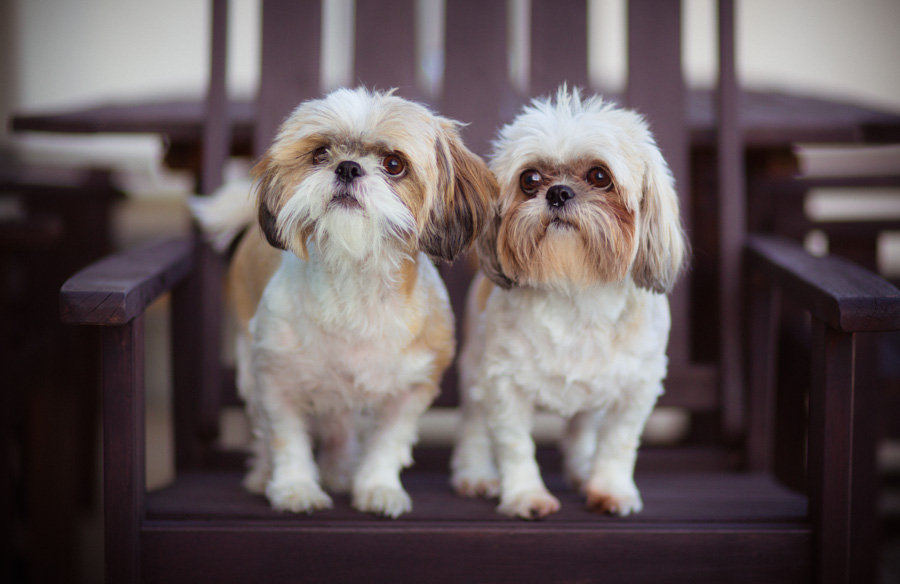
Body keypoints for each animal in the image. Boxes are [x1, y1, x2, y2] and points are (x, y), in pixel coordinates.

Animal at [192, 86, 496, 516]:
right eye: (320, 153)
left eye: (393, 164)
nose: (348, 168)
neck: (356, 283)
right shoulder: (275, 380)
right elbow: (286, 439)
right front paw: (295, 488)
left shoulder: (412, 389)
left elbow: (387, 443)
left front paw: (377, 487)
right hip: (249, 370)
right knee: (266, 433)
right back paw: (263, 475)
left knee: (340, 427)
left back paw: (339, 470)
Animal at [450, 88, 688, 520]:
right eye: (529, 179)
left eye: (599, 176)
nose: (558, 192)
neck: (577, 292)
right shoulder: (502, 384)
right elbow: (515, 446)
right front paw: (525, 495)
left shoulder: (637, 387)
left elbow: (617, 444)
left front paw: (610, 489)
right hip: (474, 368)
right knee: (474, 425)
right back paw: (474, 473)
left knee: (581, 427)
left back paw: (581, 470)